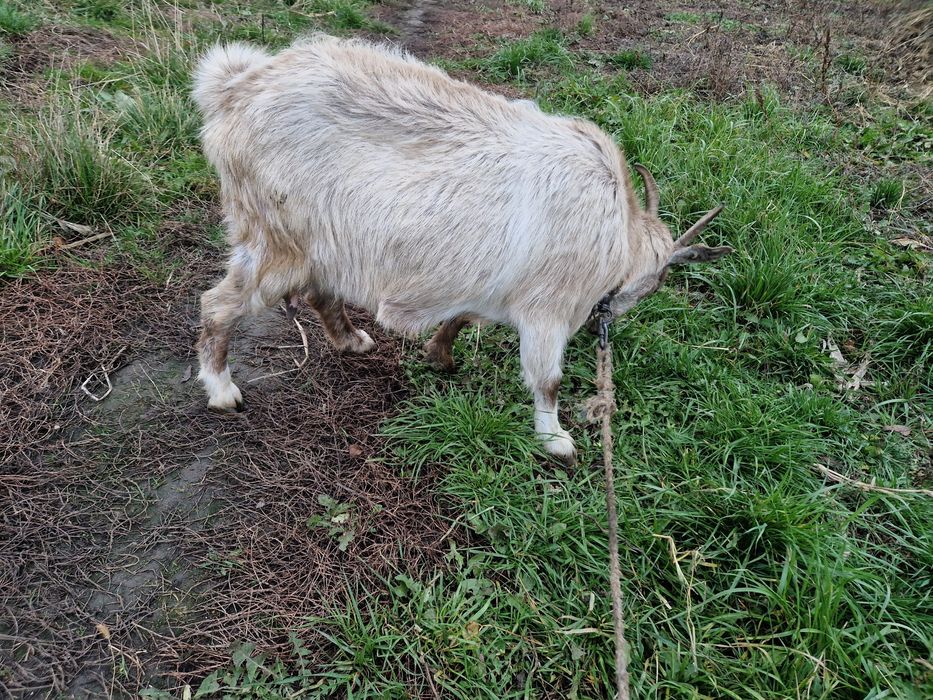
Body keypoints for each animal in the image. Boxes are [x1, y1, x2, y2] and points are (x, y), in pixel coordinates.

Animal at [192, 35, 731, 464]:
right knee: (220, 304)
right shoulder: (547, 310)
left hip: (324, 246)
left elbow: (463, 318)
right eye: (656, 285)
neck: (617, 231)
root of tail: (233, 89)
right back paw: (222, 390)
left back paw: (352, 341)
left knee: (319, 293)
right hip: (275, 239)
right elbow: (547, 380)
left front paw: (441, 354)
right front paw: (556, 441)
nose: (613, 317)